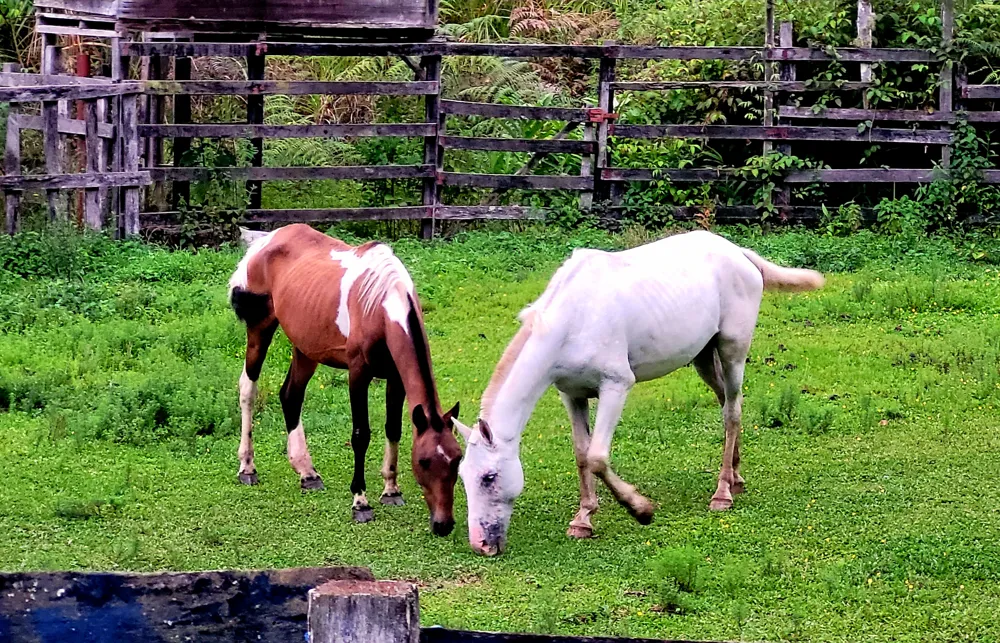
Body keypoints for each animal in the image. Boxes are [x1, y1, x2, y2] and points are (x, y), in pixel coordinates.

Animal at [229, 224, 463, 536]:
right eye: (424, 462)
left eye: (457, 459)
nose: (443, 524)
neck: (381, 305)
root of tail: (265, 241)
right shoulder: (358, 373)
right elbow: (361, 435)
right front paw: (360, 502)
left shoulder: (396, 378)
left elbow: (393, 428)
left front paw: (391, 489)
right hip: (260, 328)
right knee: (248, 389)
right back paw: (247, 467)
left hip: (305, 348)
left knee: (291, 396)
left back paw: (307, 472)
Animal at [453, 230, 825, 555]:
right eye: (463, 477)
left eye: (489, 477)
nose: (481, 545)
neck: (572, 320)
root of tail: (738, 253)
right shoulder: (572, 395)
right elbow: (581, 454)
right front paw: (583, 519)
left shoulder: (616, 385)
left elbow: (597, 457)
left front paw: (641, 510)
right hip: (704, 358)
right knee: (729, 405)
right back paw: (736, 477)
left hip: (733, 350)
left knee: (732, 411)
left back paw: (722, 494)